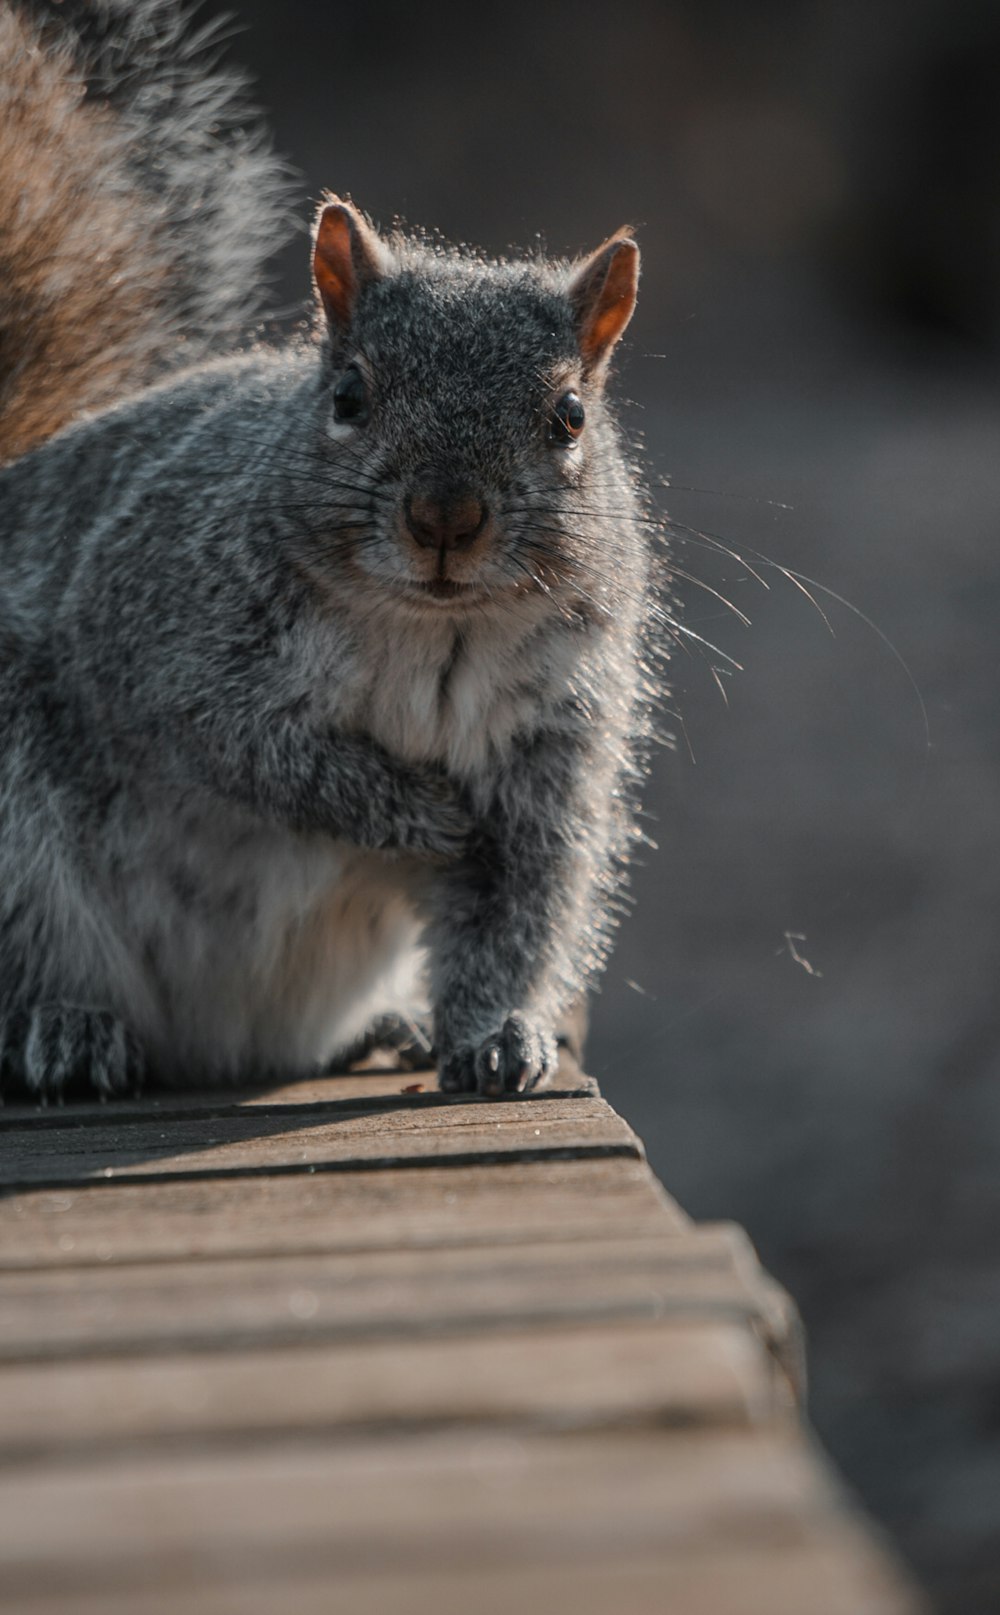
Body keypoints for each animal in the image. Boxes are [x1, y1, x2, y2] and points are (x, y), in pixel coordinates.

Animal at [0, 0, 655, 1098]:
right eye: (348, 395)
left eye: (569, 415)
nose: (445, 517)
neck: (432, 633)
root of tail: (213, 1043)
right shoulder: (154, 636)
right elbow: (253, 750)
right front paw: (410, 811)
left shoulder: (552, 746)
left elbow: (518, 905)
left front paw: (497, 1034)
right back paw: (62, 1024)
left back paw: (388, 1024)